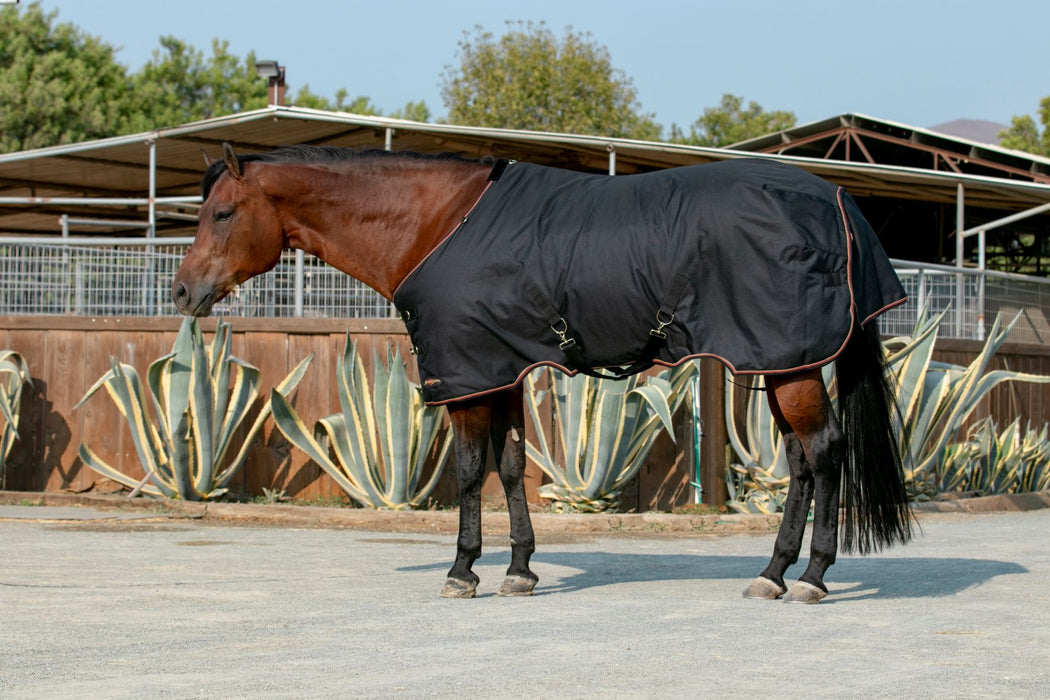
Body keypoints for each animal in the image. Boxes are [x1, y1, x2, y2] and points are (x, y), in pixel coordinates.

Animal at [173, 142, 913, 604]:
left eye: (223, 212)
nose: (183, 292)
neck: (438, 222)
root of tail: (837, 199)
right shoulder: (498, 370)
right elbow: (508, 468)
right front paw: (521, 570)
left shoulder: (466, 376)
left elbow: (469, 471)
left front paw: (462, 571)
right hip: (782, 363)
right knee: (802, 462)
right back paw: (774, 573)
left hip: (791, 367)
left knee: (826, 453)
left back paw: (811, 577)